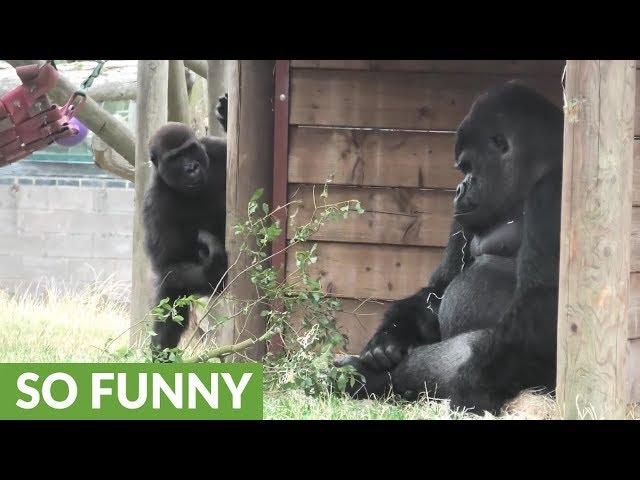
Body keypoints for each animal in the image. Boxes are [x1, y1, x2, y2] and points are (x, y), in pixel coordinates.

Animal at [144, 95, 229, 356]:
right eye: (175, 158)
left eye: (190, 150)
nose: (191, 168)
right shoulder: (155, 205)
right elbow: (168, 264)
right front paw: (213, 267)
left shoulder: (214, 149)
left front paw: (227, 115)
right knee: (169, 307)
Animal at [338, 82, 564, 412]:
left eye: (468, 166)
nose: (458, 189)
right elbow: (439, 287)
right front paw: (389, 337)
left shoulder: (553, 193)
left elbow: (542, 303)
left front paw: (472, 390)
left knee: (475, 348)